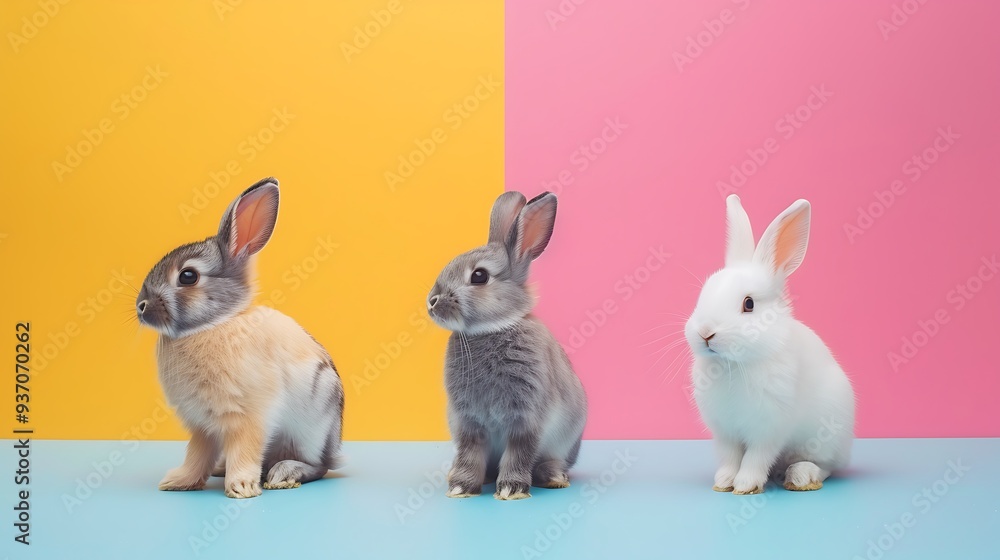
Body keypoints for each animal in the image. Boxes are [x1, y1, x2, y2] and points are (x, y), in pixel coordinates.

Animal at [135, 177, 344, 499]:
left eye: (188, 276)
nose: (141, 307)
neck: (213, 325)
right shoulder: (203, 426)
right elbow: (196, 454)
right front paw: (178, 481)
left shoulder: (249, 417)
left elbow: (245, 450)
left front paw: (242, 488)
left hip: (313, 428)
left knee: (318, 466)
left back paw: (283, 474)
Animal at [426, 191, 587, 500]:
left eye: (479, 276)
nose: (431, 302)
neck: (492, 328)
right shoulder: (469, 422)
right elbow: (470, 454)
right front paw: (461, 487)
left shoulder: (525, 418)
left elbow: (519, 452)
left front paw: (512, 489)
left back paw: (554, 478)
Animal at [684, 194, 855, 495]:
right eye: (703, 293)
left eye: (749, 304)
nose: (705, 333)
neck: (733, 364)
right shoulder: (725, 432)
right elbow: (730, 458)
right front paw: (724, 482)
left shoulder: (769, 429)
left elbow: (755, 457)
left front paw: (745, 485)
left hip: (826, 436)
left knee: (827, 466)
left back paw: (801, 476)